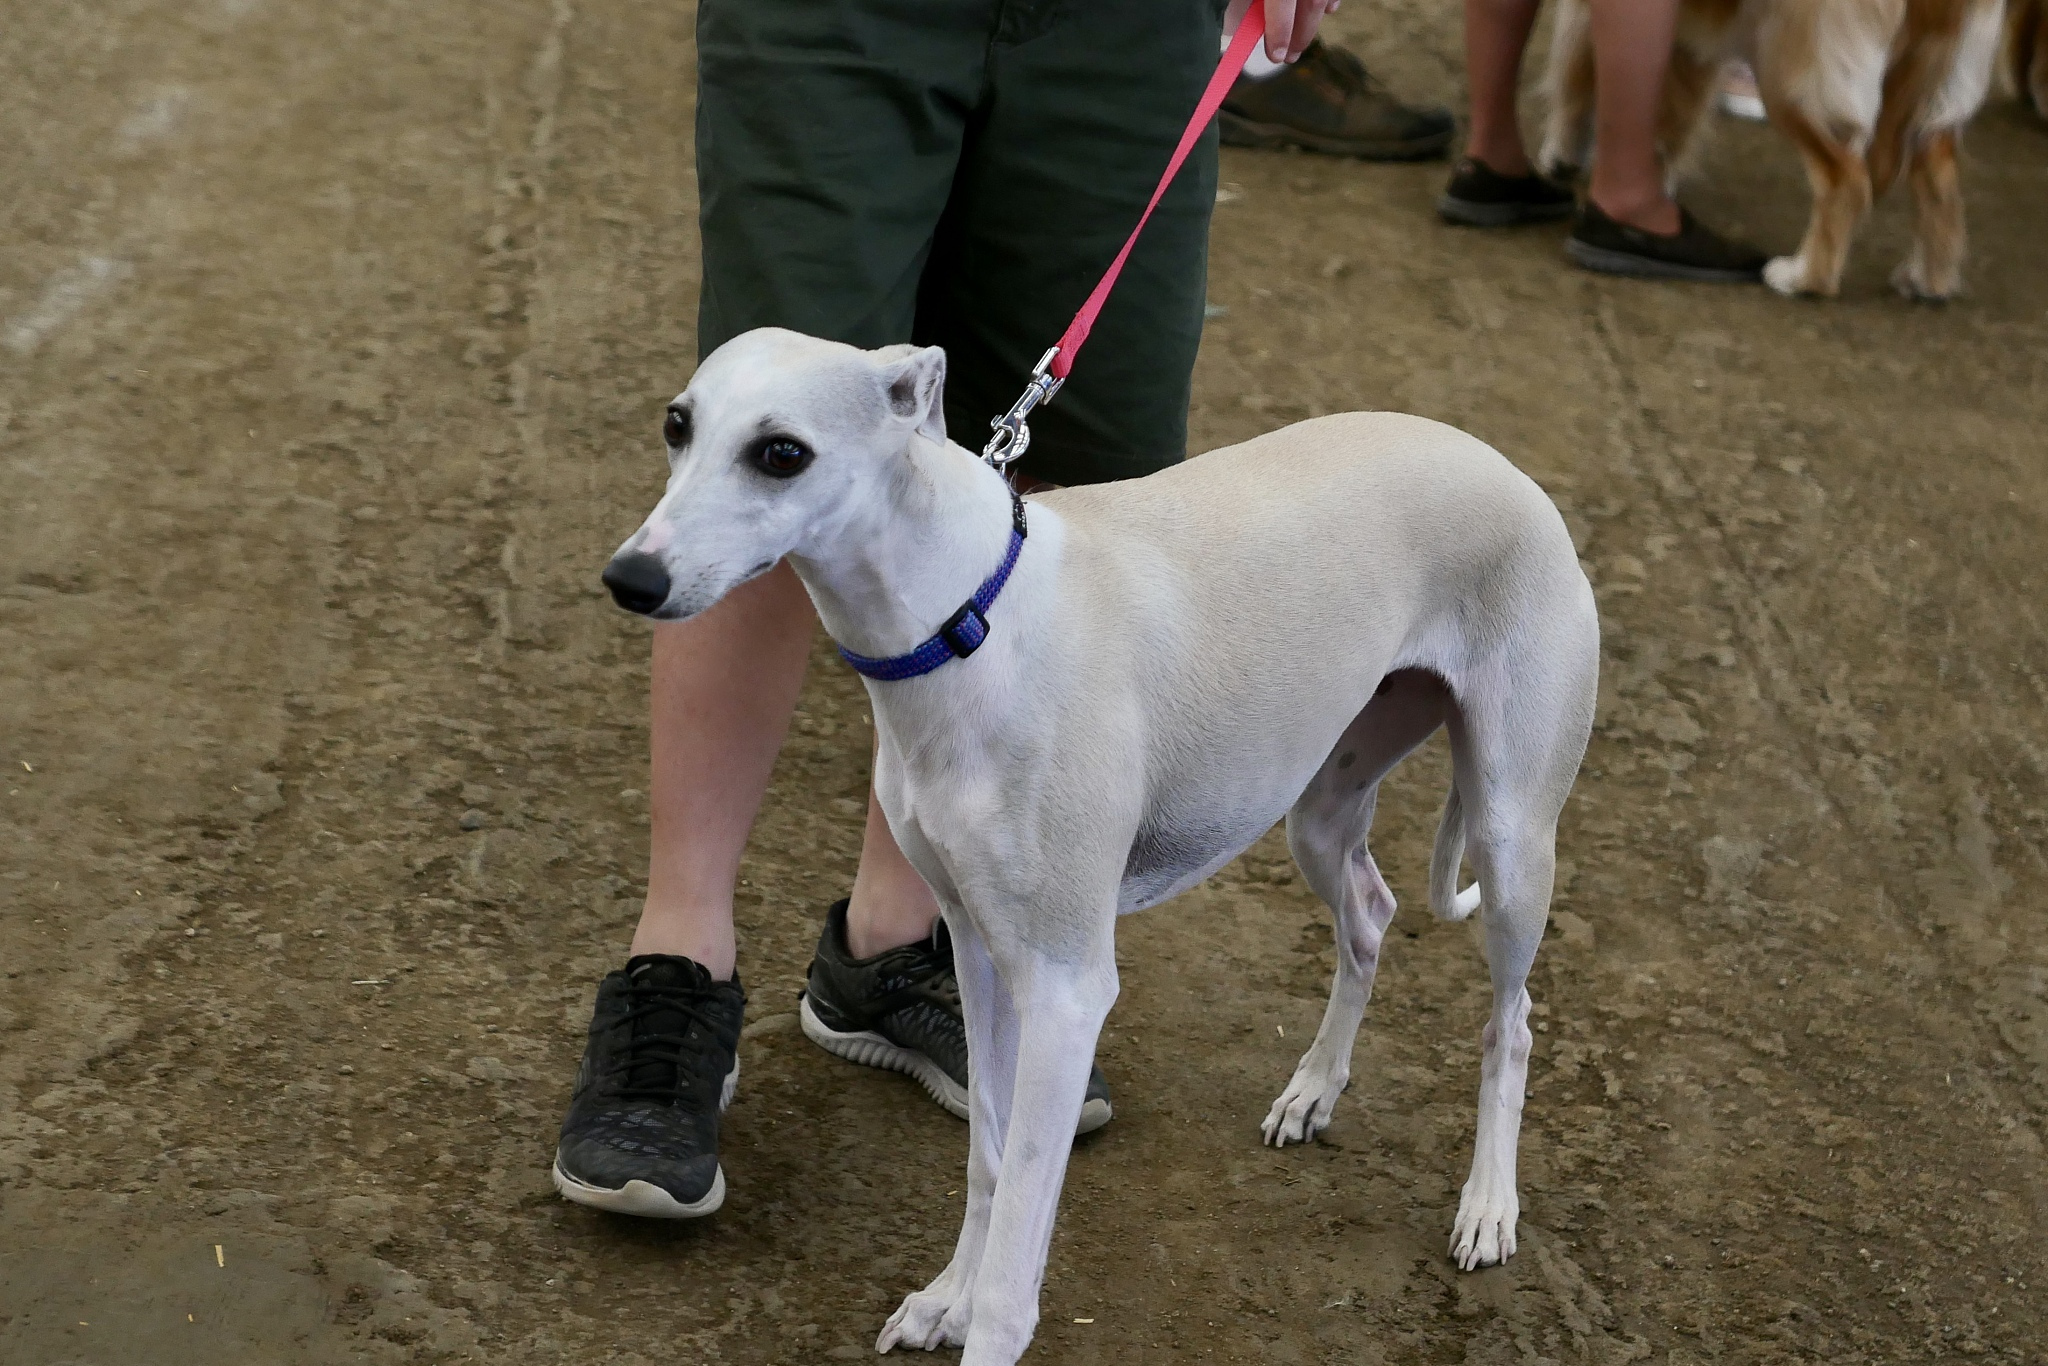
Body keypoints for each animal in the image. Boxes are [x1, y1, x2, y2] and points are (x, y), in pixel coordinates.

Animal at [602, 331, 1597, 1366]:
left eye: (782, 452)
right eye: (677, 425)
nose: (631, 579)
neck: (965, 621)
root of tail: (1501, 463)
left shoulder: (1066, 984)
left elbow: (1017, 1258)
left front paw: (980, 1320)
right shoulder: (979, 949)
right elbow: (989, 1157)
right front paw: (946, 1299)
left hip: (1511, 837)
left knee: (1513, 1021)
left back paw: (1488, 1206)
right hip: (1316, 807)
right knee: (1370, 912)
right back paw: (1314, 1090)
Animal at [1540, 0, 2007, 299]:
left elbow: (1573, 72)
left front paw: (1561, 154)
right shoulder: (1691, 41)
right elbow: (1669, 121)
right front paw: (1659, 187)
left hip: (1789, 76)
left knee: (1846, 182)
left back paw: (1803, 278)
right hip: (1936, 93)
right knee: (1939, 183)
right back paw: (1930, 281)